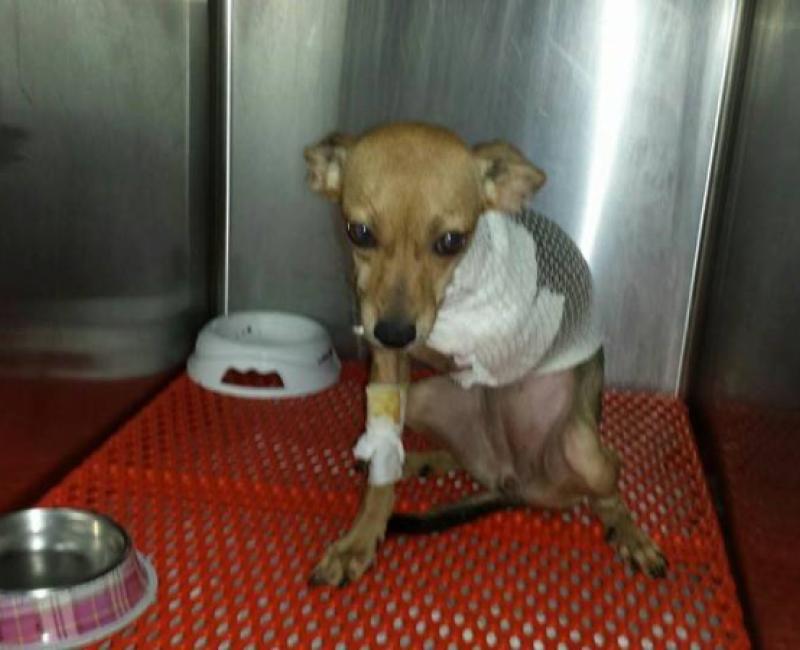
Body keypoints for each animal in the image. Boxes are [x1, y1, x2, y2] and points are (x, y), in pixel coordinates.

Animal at [303, 122, 666, 587]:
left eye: (450, 241)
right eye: (359, 231)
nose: (395, 331)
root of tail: (516, 483)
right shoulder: (387, 367)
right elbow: (381, 467)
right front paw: (361, 538)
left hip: (584, 449)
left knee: (608, 483)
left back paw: (627, 530)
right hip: (424, 400)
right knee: (458, 456)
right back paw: (424, 459)